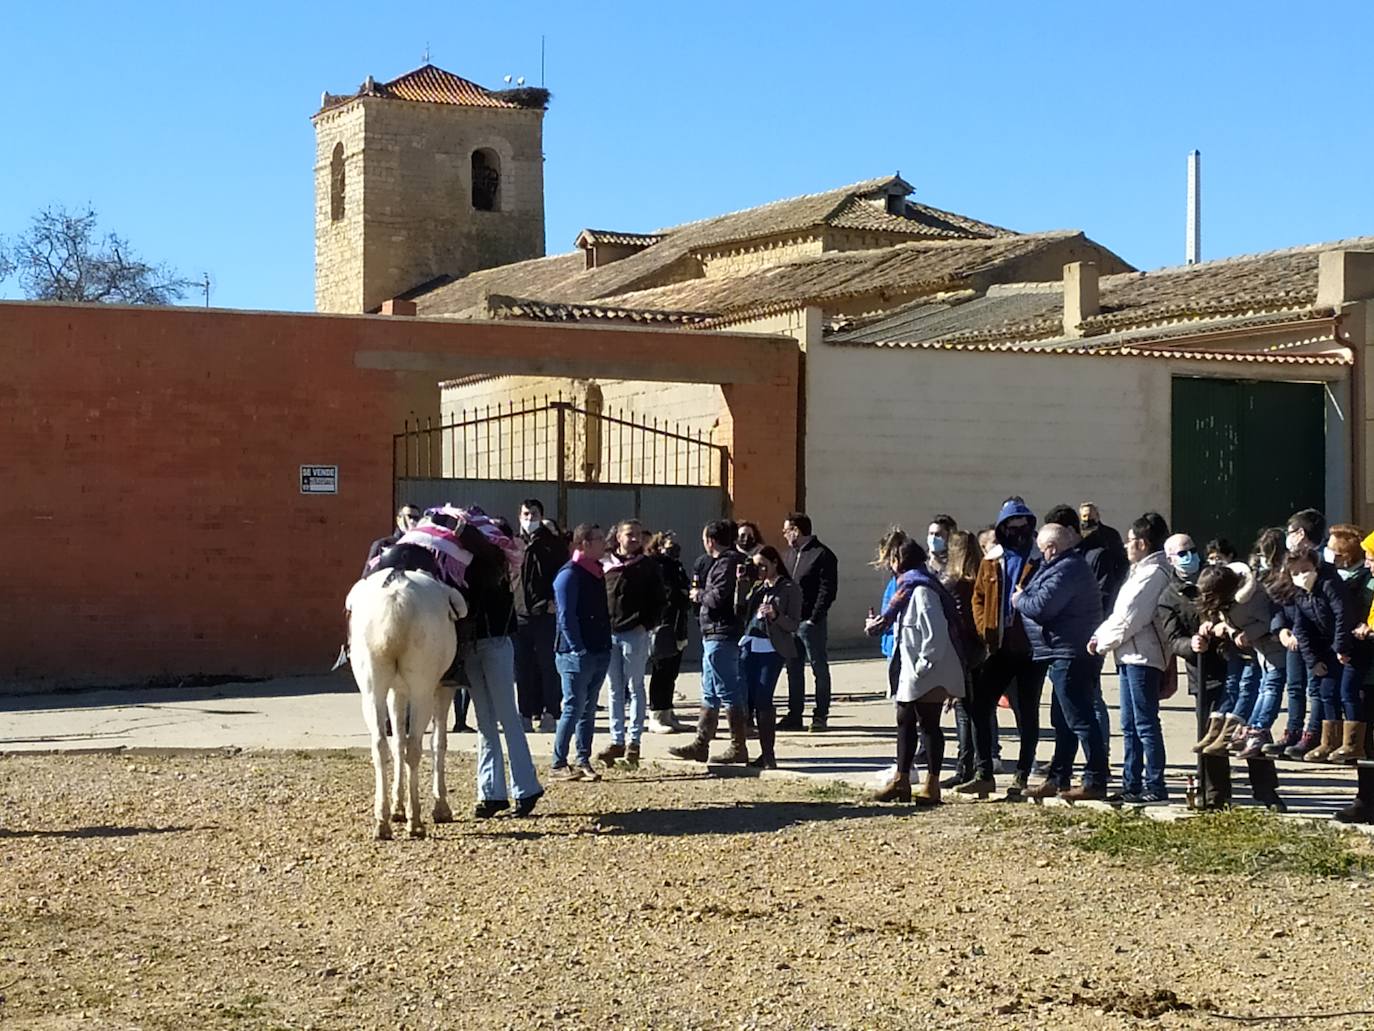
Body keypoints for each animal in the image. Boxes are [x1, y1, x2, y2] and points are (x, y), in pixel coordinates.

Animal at [346, 569, 469, 841]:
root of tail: (395, 596)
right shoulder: (442, 689)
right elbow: (437, 743)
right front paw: (440, 807)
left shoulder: (396, 691)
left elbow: (397, 743)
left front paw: (396, 807)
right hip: (422, 690)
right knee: (415, 747)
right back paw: (416, 822)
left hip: (372, 689)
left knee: (380, 745)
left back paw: (382, 822)